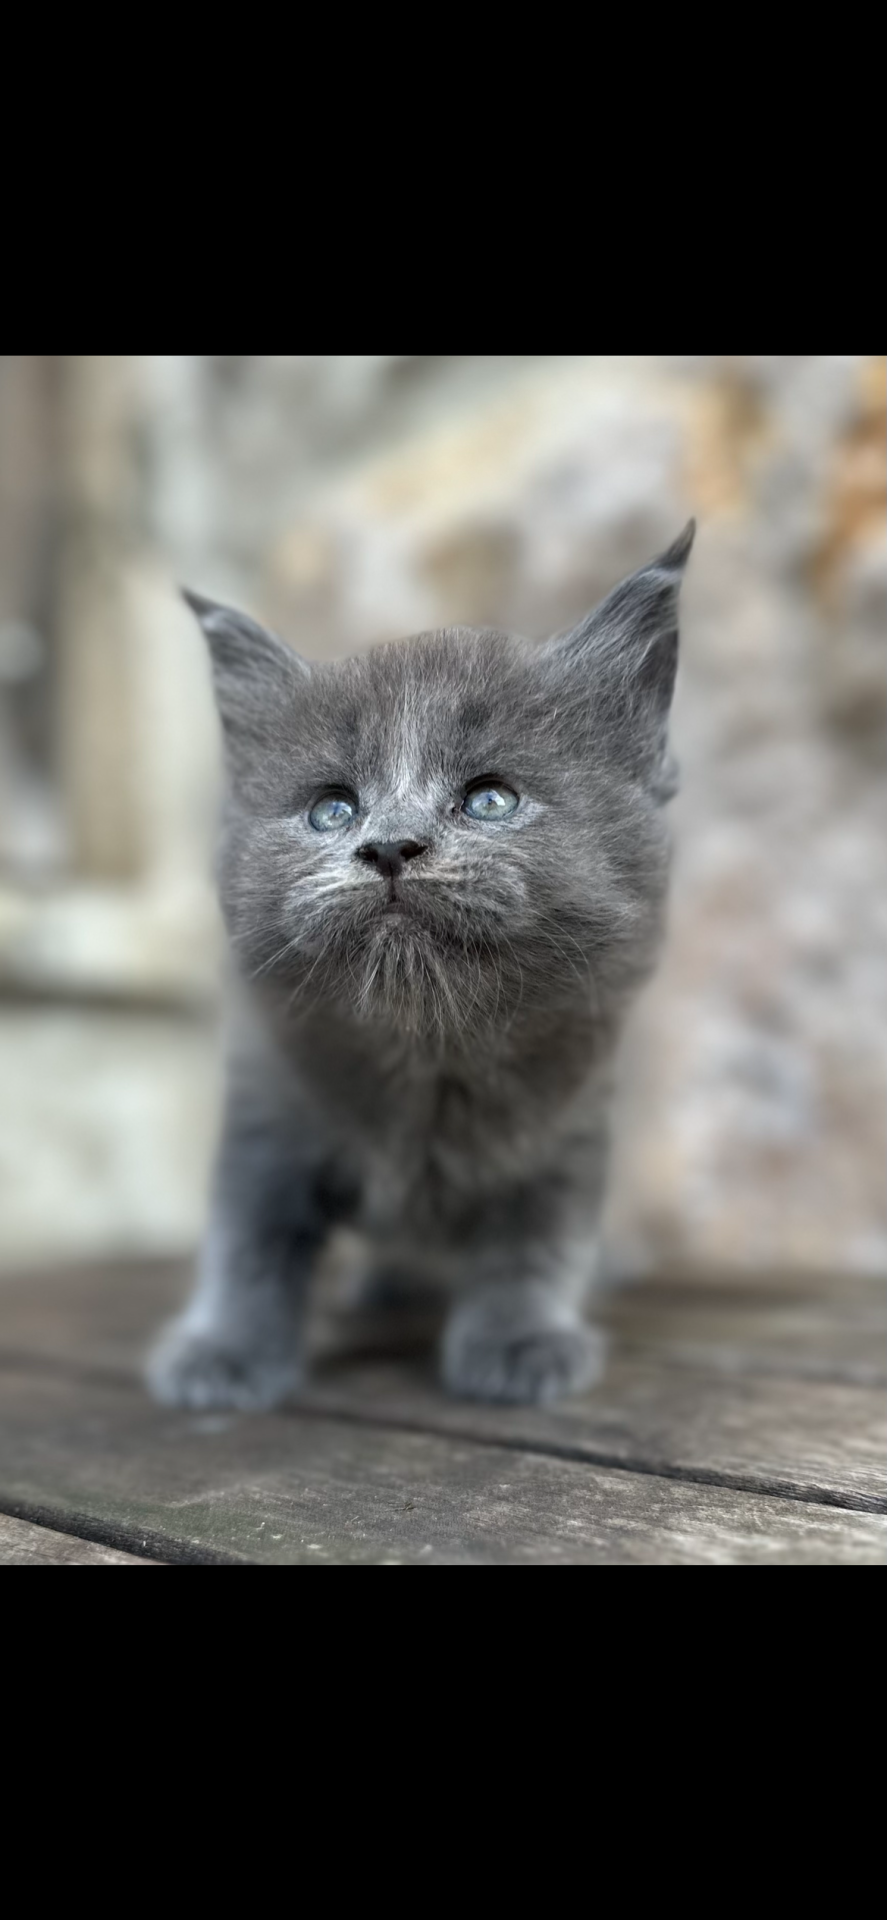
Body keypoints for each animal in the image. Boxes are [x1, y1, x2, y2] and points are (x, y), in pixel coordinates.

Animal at [148, 526, 695, 1413]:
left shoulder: (571, 1127)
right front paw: (223, 1351)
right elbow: (247, 1242)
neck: (428, 1058)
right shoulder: (265, 1116)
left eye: (490, 800)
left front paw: (519, 1342)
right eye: (331, 810)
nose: (389, 846)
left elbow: (536, 1243)